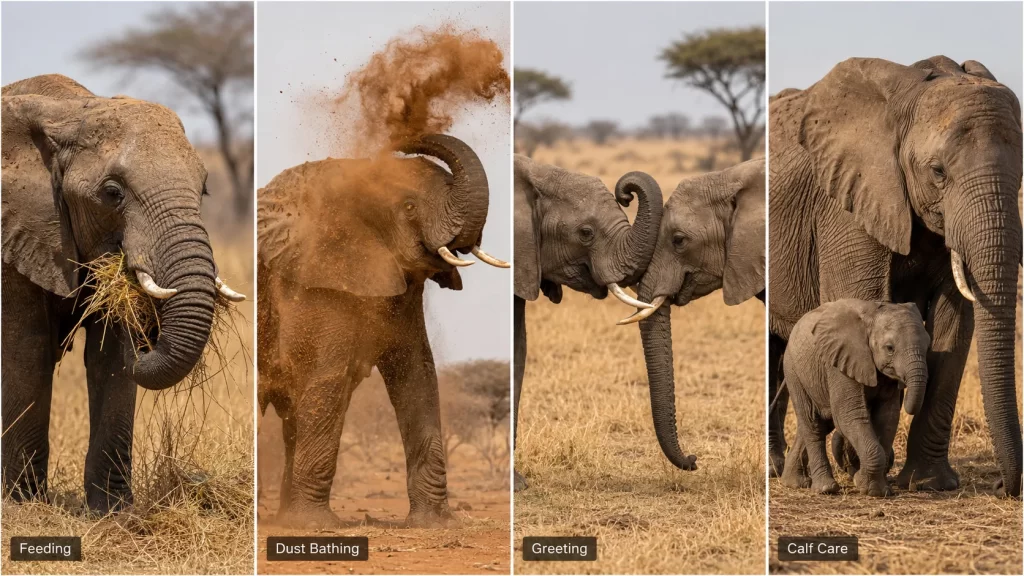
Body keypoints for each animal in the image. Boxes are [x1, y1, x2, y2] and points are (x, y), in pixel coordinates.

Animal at [1, 74, 245, 513]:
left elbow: (110, 357)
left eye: (203, 189)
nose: (149, 338)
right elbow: (27, 350)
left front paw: (113, 510)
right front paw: (24, 505)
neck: (68, 110)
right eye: (113, 193)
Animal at [257, 133, 508, 528]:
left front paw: (433, 524)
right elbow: (327, 379)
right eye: (409, 207)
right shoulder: (316, 282)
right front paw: (316, 526)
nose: (400, 140)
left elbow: (418, 376)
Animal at [779, 299, 930, 497]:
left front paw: (879, 487)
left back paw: (793, 483)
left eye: (928, 346)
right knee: (813, 424)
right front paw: (869, 488)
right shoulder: (840, 362)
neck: (873, 316)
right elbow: (849, 415)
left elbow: (887, 418)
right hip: (794, 370)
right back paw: (825, 488)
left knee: (819, 423)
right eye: (890, 348)